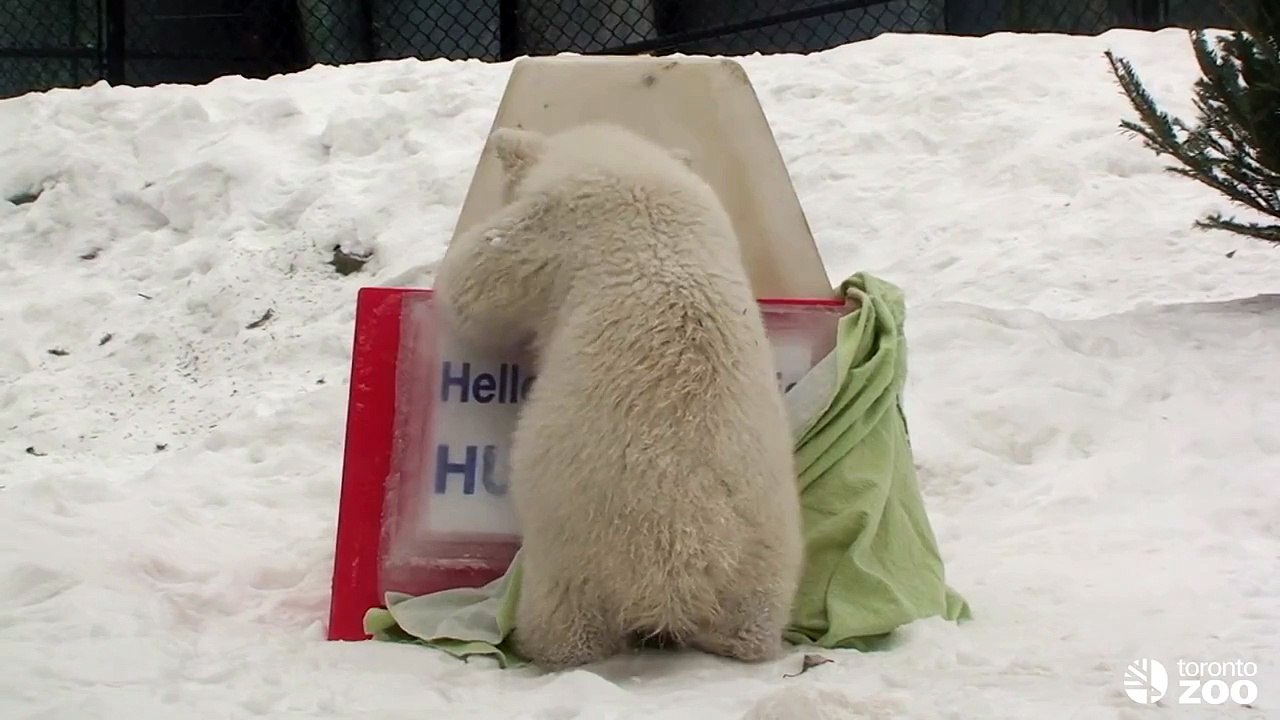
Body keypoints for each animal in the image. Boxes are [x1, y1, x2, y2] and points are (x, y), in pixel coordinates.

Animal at [433, 122, 805, 671]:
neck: (634, 173)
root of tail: (685, 565)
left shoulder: (551, 225)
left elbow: (479, 281)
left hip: (578, 546)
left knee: (566, 618)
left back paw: (536, 644)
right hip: (762, 556)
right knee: (749, 619)